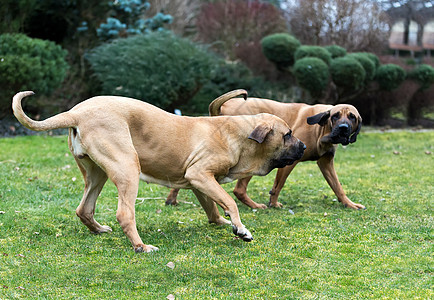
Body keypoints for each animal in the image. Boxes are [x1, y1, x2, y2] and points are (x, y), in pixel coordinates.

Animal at [12, 90, 306, 252]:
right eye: (288, 134)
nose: (304, 146)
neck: (237, 134)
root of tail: (76, 112)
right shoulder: (200, 174)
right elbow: (229, 202)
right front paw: (240, 229)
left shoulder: (198, 182)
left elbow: (212, 207)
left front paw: (223, 223)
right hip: (128, 167)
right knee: (125, 214)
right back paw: (141, 247)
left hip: (97, 174)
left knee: (84, 208)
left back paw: (98, 230)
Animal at [166, 90, 362, 210]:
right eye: (336, 116)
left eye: (352, 117)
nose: (343, 128)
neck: (321, 130)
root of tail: (222, 107)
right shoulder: (289, 160)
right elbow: (277, 185)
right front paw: (273, 204)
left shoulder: (326, 162)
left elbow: (337, 186)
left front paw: (349, 203)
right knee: (239, 189)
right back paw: (254, 206)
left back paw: (172, 199)